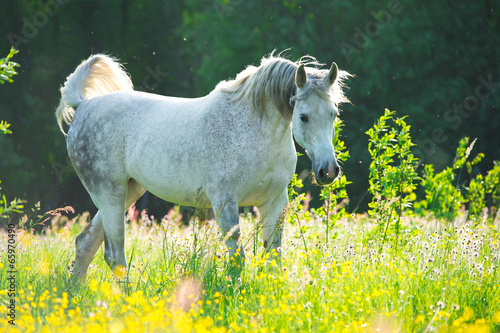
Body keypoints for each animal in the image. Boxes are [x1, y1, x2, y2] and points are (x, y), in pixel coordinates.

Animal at [55, 52, 352, 280]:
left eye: (334, 113)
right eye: (303, 117)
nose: (328, 171)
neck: (257, 131)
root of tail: (82, 105)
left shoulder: (275, 201)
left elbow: (273, 257)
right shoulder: (225, 202)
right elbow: (237, 259)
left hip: (128, 192)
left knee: (85, 245)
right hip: (110, 194)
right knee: (114, 255)